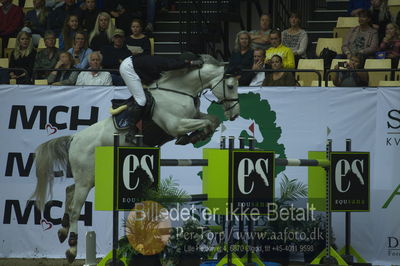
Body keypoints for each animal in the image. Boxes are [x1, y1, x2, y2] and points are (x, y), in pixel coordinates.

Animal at [31, 54, 239, 262]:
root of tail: (74, 138)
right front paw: (194, 136)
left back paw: (63, 231)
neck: (180, 91)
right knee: (75, 209)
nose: (234, 114)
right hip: (86, 179)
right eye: (230, 86)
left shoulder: (192, 116)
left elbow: (212, 120)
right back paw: (71, 249)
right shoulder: (176, 124)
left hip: (92, 176)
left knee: (69, 191)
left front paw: (199, 135)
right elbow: (204, 123)